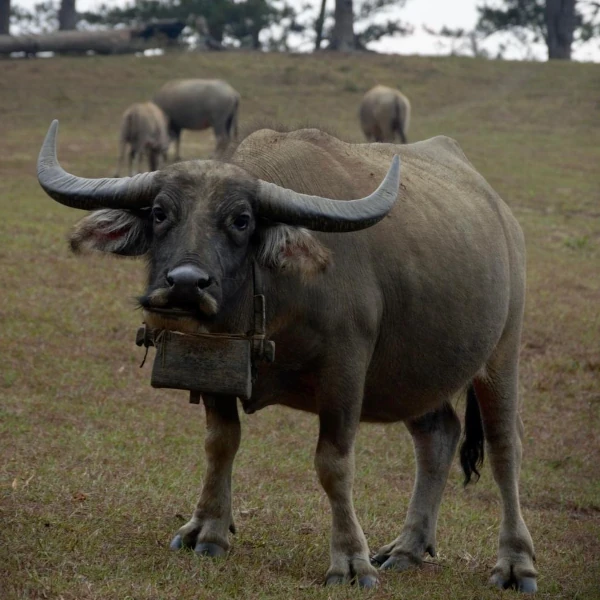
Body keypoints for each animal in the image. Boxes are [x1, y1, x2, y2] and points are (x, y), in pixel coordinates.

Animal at [37, 119, 536, 592]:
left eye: (241, 220)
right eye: (160, 213)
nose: (185, 284)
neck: (274, 295)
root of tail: (505, 219)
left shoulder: (344, 372)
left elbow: (333, 464)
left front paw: (350, 561)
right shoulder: (219, 368)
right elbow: (220, 443)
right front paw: (208, 531)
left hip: (501, 352)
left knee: (504, 447)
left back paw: (515, 563)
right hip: (413, 375)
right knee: (439, 436)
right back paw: (407, 548)